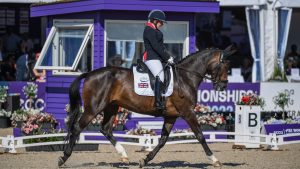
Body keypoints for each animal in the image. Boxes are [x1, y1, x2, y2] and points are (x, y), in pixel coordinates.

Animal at [58, 46, 234, 168]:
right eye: (225, 66)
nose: (223, 86)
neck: (185, 78)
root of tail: (90, 74)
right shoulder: (188, 113)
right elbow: (200, 135)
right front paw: (215, 160)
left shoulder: (171, 116)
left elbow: (163, 140)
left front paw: (145, 160)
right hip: (94, 108)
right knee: (77, 128)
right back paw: (63, 158)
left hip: (111, 107)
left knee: (105, 129)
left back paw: (124, 156)